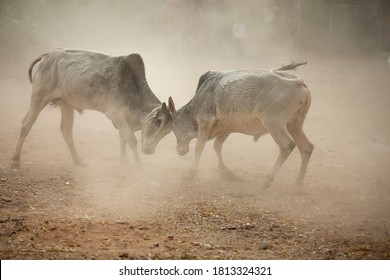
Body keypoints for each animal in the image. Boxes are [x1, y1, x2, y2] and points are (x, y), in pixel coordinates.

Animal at [11, 48, 175, 168]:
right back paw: (15, 161)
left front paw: (124, 162)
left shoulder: (122, 119)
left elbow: (123, 139)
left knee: (66, 130)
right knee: (26, 124)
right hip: (39, 97)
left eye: (168, 130)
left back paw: (78, 161)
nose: (148, 150)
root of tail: (47, 55)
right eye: (158, 121)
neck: (134, 89)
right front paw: (138, 164)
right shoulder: (115, 114)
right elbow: (131, 139)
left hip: (66, 103)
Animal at [171, 61, 314, 188]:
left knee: (287, 145)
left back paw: (267, 180)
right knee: (307, 147)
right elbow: (217, 146)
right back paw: (298, 182)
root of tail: (298, 83)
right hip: (294, 126)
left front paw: (191, 174)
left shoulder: (205, 121)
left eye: (173, 127)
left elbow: (199, 147)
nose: (179, 150)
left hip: (273, 123)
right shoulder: (226, 127)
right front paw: (225, 172)